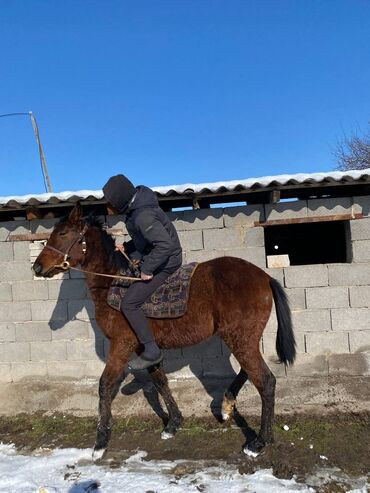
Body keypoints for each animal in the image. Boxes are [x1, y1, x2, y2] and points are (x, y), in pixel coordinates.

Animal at [33, 203, 296, 458]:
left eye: (63, 233)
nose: (37, 267)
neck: (113, 284)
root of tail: (264, 276)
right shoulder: (146, 349)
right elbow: (160, 381)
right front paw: (173, 423)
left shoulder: (121, 345)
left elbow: (105, 385)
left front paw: (100, 443)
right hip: (241, 338)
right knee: (248, 371)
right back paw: (226, 405)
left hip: (240, 339)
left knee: (265, 380)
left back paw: (260, 442)